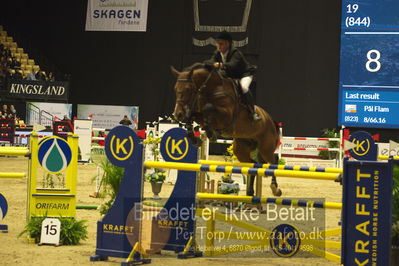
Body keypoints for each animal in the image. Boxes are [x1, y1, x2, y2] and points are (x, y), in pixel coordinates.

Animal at [170, 65, 282, 196]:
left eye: (188, 89)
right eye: (175, 89)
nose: (178, 114)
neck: (212, 89)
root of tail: (271, 121)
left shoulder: (226, 116)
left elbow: (208, 108)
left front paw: (210, 133)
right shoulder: (200, 115)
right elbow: (194, 116)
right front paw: (196, 138)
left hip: (266, 147)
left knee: (273, 161)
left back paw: (275, 189)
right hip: (241, 149)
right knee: (252, 164)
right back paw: (250, 192)